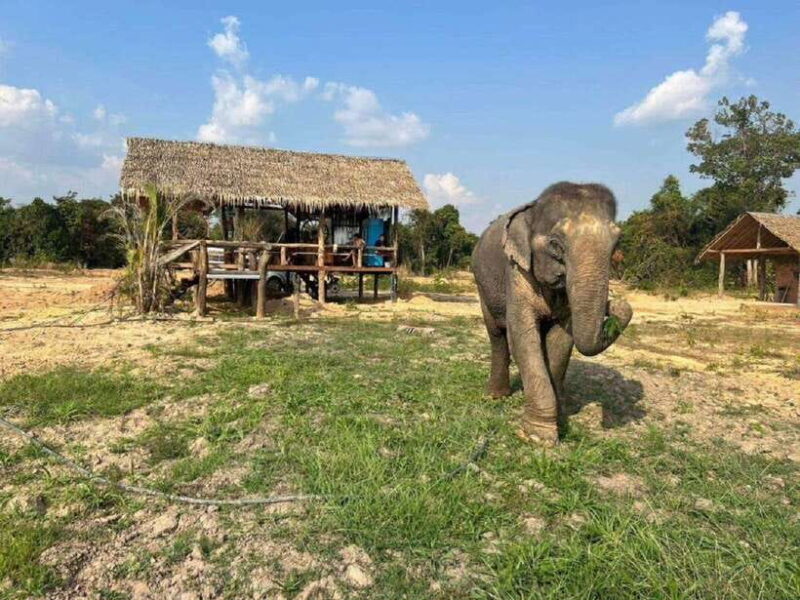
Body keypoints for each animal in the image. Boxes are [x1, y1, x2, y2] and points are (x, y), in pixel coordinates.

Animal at [472, 182, 632, 444]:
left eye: (616, 244)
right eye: (555, 245)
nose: (617, 304)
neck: (534, 210)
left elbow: (560, 342)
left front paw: (560, 418)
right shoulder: (516, 270)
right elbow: (522, 338)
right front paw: (539, 435)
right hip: (482, 287)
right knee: (497, 335)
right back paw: (496, 396)